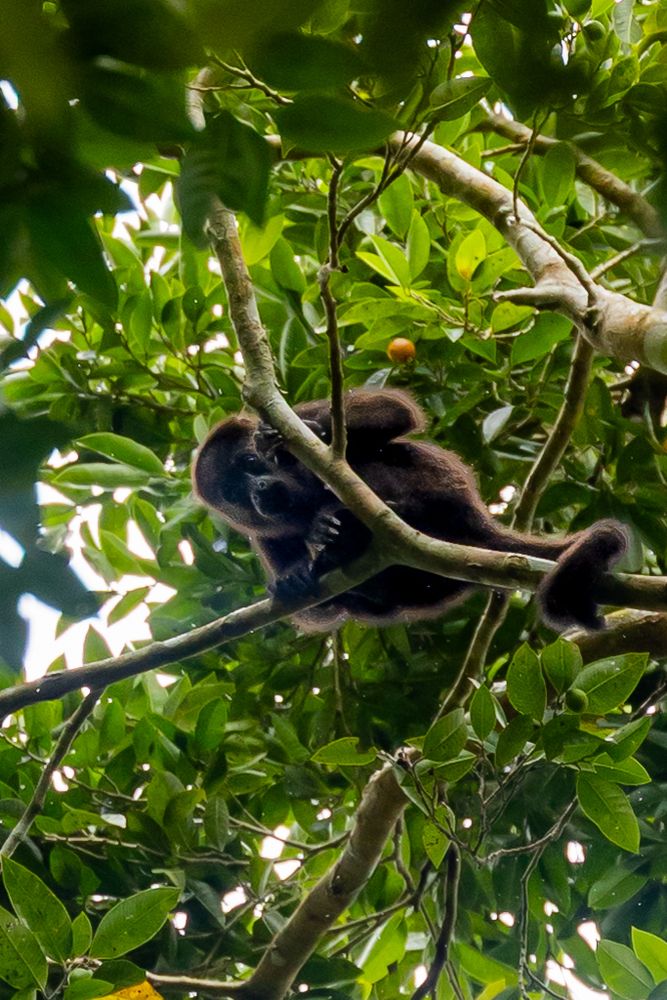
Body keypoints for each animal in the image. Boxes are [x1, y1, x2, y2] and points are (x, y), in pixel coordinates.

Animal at [192, 389, 627, 631]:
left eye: (250, 463)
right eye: (233, 493)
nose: (259, 490)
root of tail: (479, 526)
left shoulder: (290, 412)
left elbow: (395, 410)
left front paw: (302, 438)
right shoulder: (261, 537)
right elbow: (316, 610)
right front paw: (294, 574)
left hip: (439, 489)